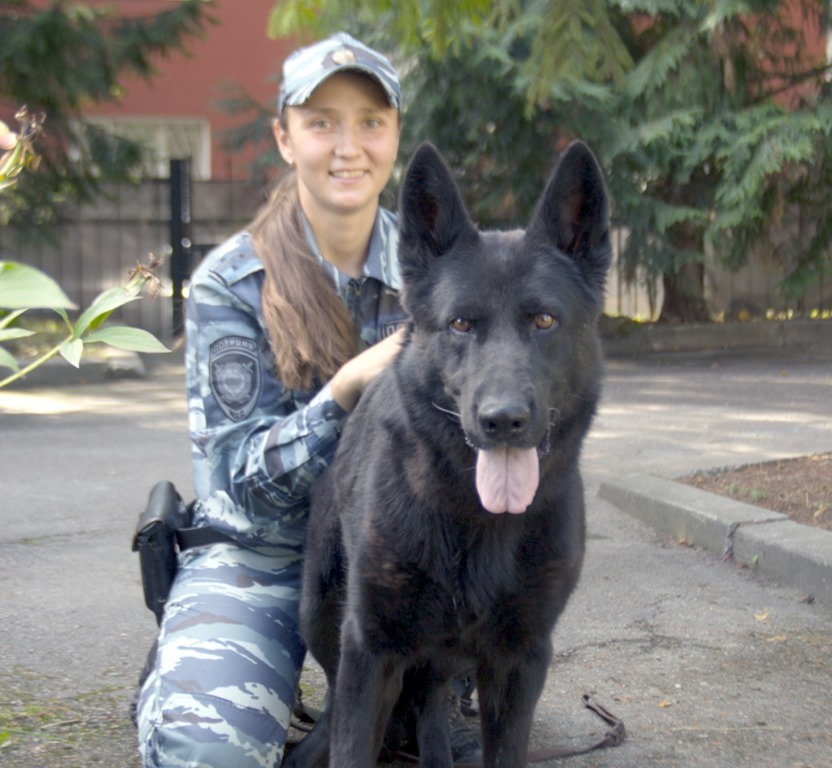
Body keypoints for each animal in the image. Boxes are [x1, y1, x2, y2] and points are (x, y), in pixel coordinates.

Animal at [286, 140, 612, 768]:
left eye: (544, 320)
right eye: (461, 323)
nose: (503, 421)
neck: (477, 520)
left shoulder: (520, 662)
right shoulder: (371, 648)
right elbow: (350, 742)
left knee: (431, 701)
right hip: (322, 615)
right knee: (336, 706)